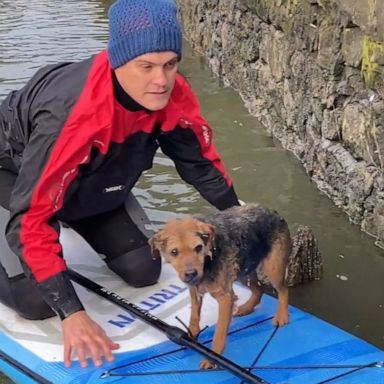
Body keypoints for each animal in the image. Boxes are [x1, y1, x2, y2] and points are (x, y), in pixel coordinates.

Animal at [148, 204, 290, 368]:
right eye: (174, 252)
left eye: (198, 247)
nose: (191, 274)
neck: (208, 261)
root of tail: (272, 211)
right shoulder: (195, 290)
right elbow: (194, 316)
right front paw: (191, 335)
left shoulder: (225, 298)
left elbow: (219, 333)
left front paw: (213, 358)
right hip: (244, 268)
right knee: (258, 289)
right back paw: (247, 308)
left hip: (272, 268)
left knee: (283, 290)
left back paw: (282, 316)